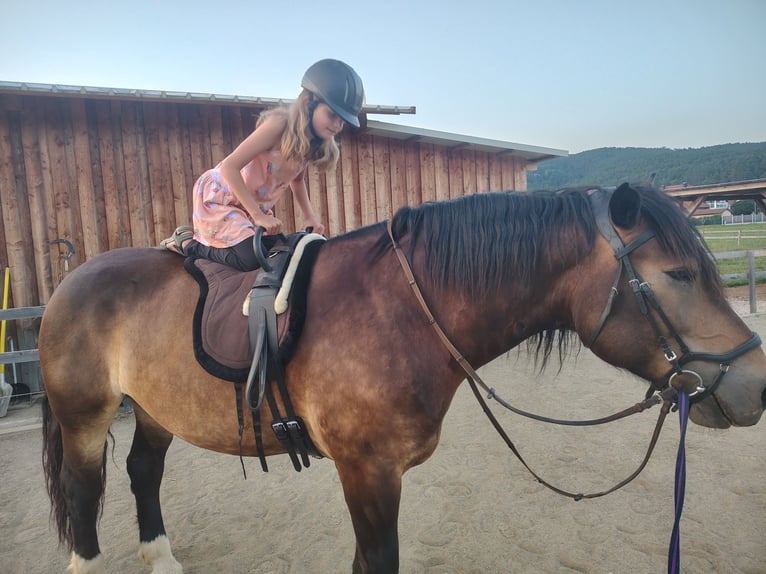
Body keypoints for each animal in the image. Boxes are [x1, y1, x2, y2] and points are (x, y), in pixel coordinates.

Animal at [39, 182, 766, 574]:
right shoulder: (368, 474)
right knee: (83, 491)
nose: (757, 383)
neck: (401, 311)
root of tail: (71, 280)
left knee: (143, 473)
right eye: (679, 274)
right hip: (85, 413)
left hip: (154, 409)